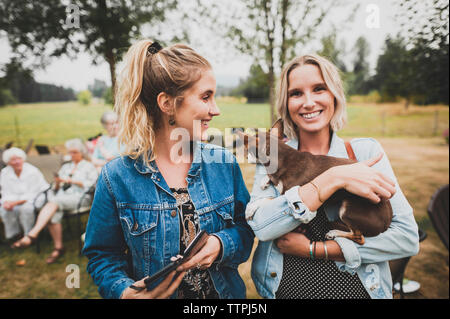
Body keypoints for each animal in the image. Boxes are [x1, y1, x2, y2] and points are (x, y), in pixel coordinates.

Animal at [237, 120, 392, 245]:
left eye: (247, 149)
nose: (243, 156)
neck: (281, 158)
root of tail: (387, 223)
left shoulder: (292, 194)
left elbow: (268, 199)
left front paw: (251, 208)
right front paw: (265, 180)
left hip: (348, 209)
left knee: (360, 237)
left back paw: (334, 232)